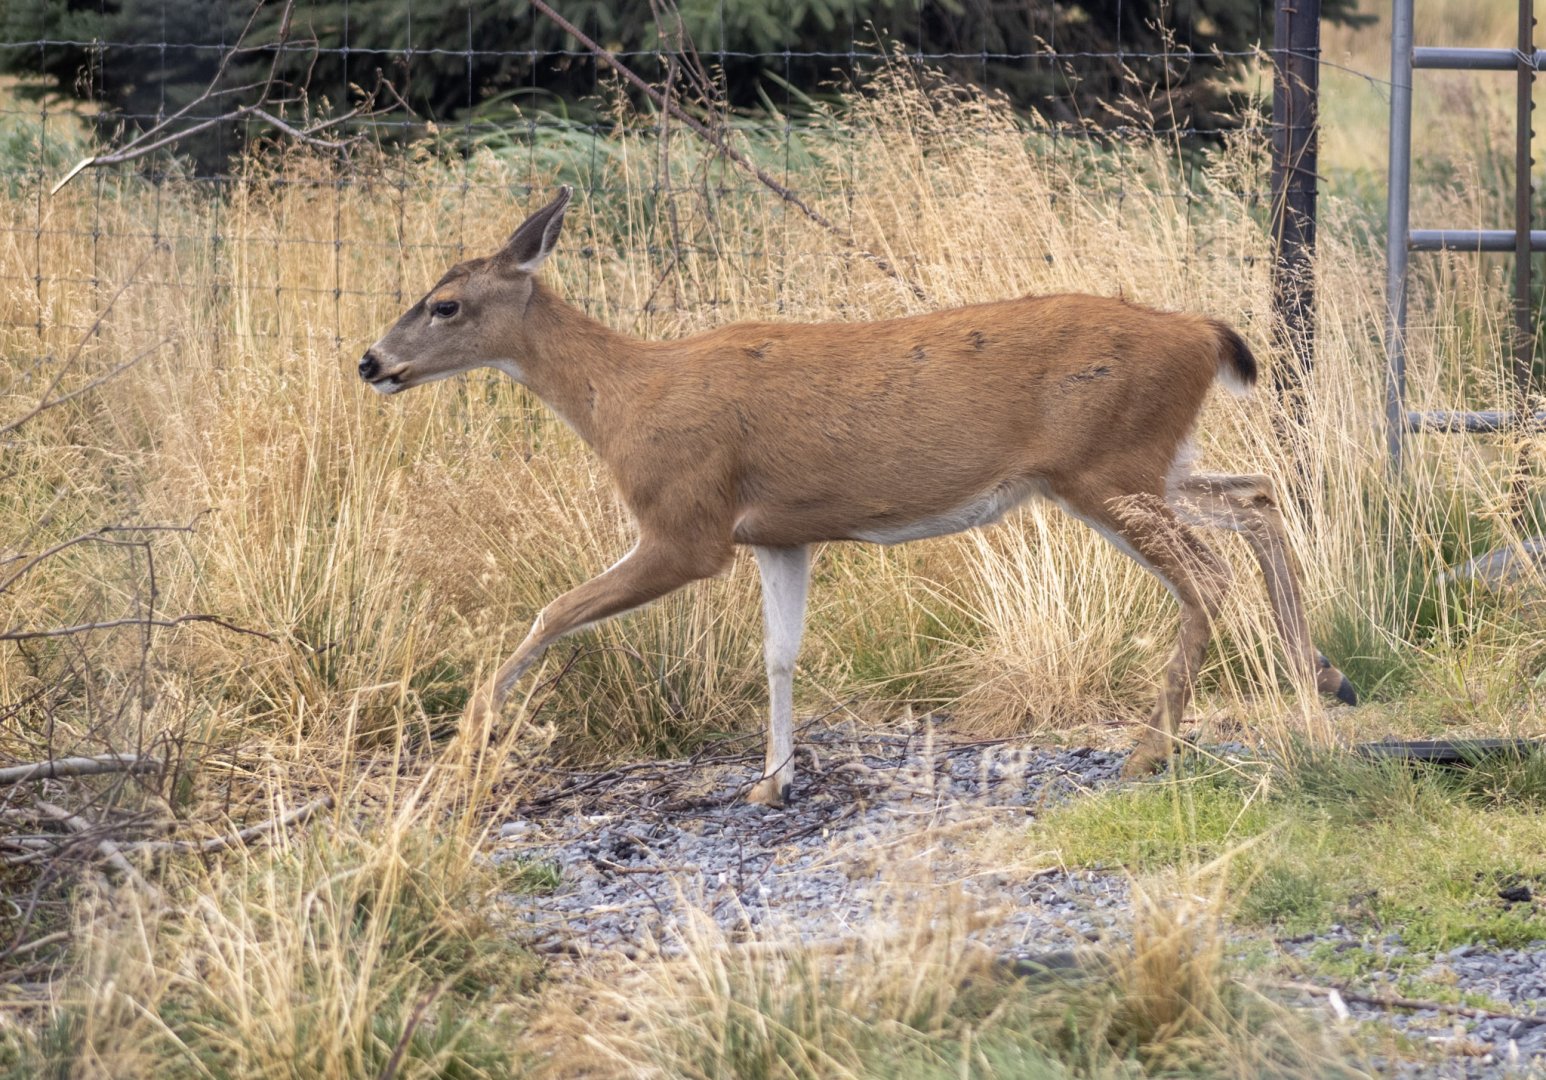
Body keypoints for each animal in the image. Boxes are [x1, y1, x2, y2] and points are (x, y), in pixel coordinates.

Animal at [359, 186, 1357, 807]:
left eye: (445, 305)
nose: (371, 361)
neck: (623, 400)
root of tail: (1204, 333)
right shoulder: (778, 534)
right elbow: (779, 655)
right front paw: (772, 779)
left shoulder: (687, 522)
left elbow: (554, 610)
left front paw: (467, 738)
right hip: (1148, 460)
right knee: (1258, 496)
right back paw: (1322, 683)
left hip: (1103, 464)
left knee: (1208, 569)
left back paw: (1151, 750)